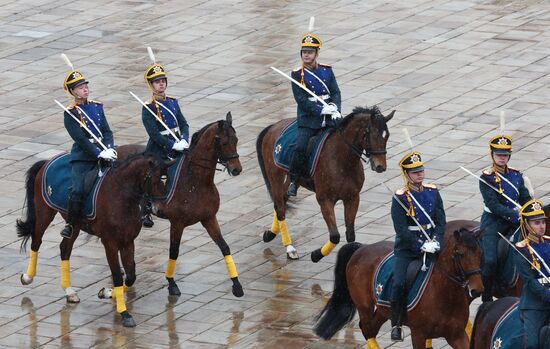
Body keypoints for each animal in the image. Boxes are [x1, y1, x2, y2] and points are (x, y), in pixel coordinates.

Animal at [16, 152, 171, 326]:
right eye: (155, 179)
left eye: (167, 178)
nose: (160, 208)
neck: (121, 196)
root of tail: (47, 161)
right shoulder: (110, 243)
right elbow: (117, 276)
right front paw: (124, 313)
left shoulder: (128, 241)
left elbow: (131, 276)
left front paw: (107, 293)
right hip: (44, 212)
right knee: (36, 241)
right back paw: (28, 277)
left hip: (74, 223)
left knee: (65, 249)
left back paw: (69, 292)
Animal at [117, 111, 245, 296]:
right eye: (224, 142)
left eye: (236, 140)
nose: (236, 169)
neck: (195, 181)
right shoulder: (177, 223)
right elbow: (174, 251)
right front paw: (171, 283)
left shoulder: (209, 218)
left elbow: (224, 247)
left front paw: (236, 284)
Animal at [256, 104, 394, 260]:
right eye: (372, 135)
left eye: (387, 136)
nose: (380, 166)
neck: (343, 160)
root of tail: (273, 126)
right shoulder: (325, 200)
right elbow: (334, 236)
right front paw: (316, 255)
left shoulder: (352, 198)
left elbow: (350, 234)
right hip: (275, 176)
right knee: (280, 208)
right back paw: (289, 247)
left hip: (292, 178)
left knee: (283, 200)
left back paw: (270, 234)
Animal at [316, 220, 486, 348]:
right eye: (460, 254)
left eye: (480, 253)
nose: (477, 289)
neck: (445, 294)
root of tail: (362, 248)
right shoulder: (418, 335)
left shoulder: (456, 335)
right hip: (364, 307)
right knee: (367, 330)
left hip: (384, 310)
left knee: (371, 328)